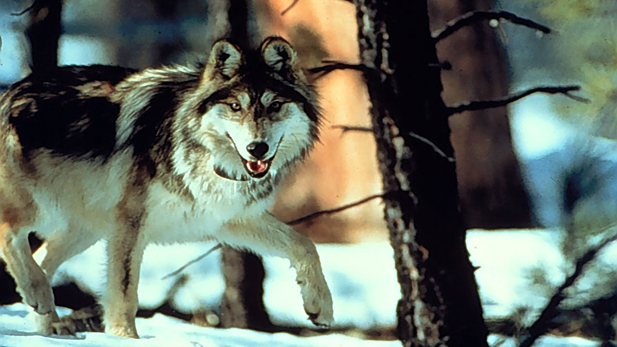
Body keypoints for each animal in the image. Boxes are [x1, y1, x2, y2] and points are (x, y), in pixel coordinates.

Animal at [0, 36, 332, 338]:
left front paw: (321, 307)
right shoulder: (130, 224)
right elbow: (124, 294)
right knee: (10, 235)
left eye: (274, 106)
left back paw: (49, 322)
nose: (256, 148)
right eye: (236, 106)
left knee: (41, 258)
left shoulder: (229, 219)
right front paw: (124, 338)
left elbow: (306, 245)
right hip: (39, 209)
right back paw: (40, 297)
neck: (203, 153)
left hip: (87, 229)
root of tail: (9, 91)